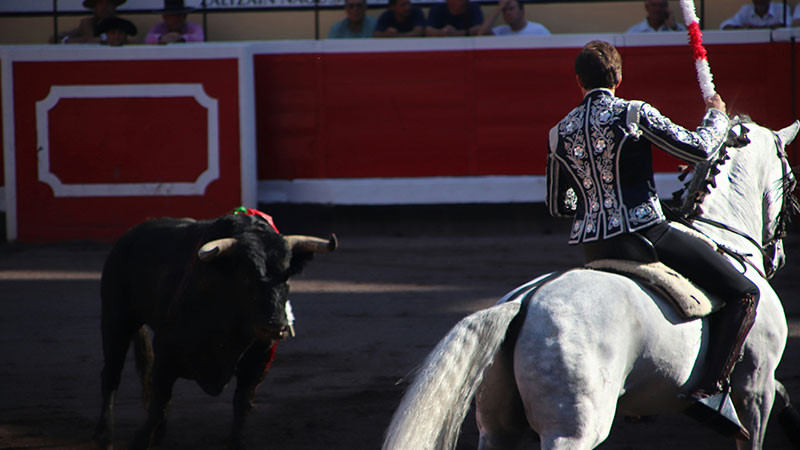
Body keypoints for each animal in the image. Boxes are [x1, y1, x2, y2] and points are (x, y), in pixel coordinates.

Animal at [92, 214, 336, 450]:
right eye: (246, 277)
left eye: (287, 277)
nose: (276, 326)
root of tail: (131, 234)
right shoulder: (166, 354)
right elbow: (158, 405)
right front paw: (141, 441)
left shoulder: (259, 359)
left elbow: (242, 404)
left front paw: (236, 443)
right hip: (116, 318)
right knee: (111, 375)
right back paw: (105, 436)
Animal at [382, 119, 800, 450]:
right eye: (792, 182)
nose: (778, 257)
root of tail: (524, 303)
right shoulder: (755, 384)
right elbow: (760, 419)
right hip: (574, 429)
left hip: (497, 428)